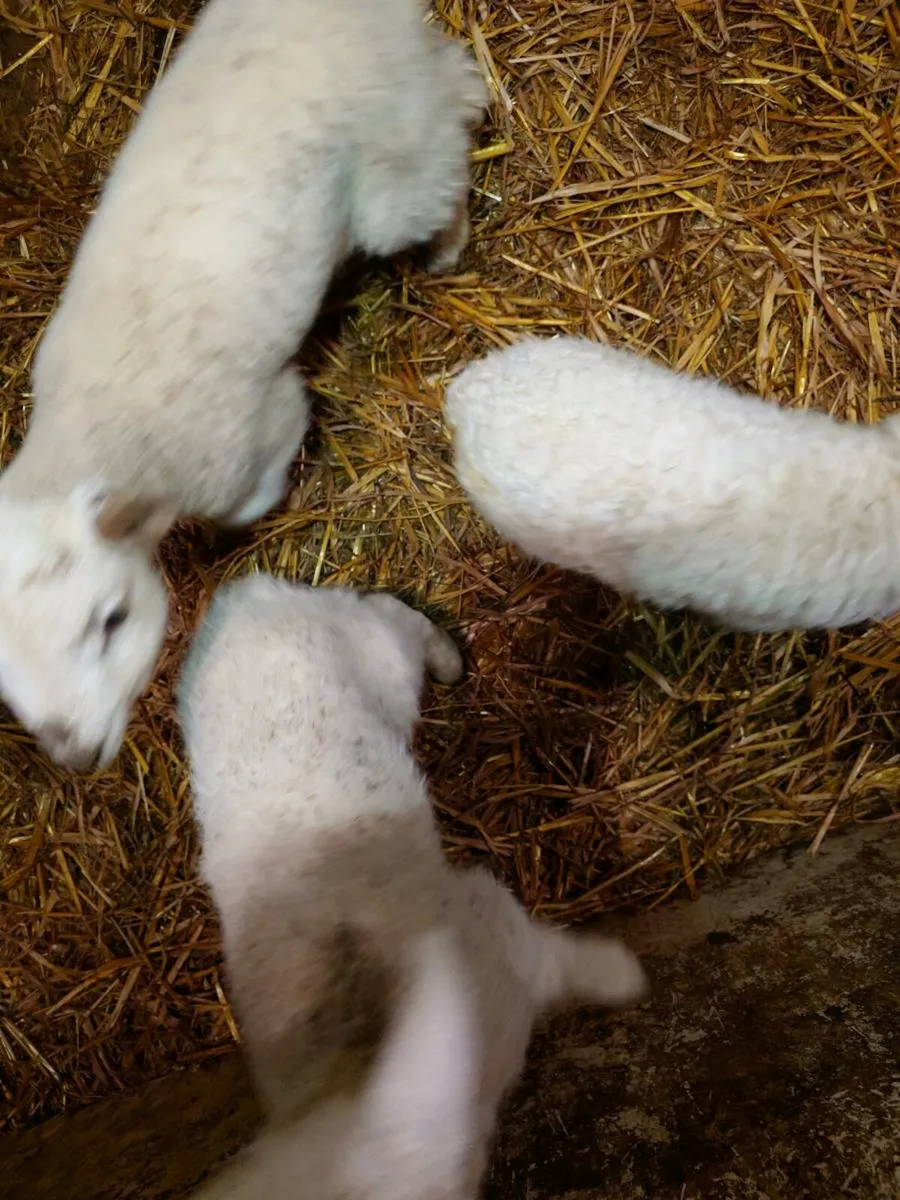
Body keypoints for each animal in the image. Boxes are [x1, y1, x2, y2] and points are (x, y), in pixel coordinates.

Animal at [0, 0, 487, 771]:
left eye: (111, 620)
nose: (75, 754)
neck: (90, 427)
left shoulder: (258, 433)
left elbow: (255, 491)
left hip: (394, 173)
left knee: (446, 151)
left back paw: (447, 243)